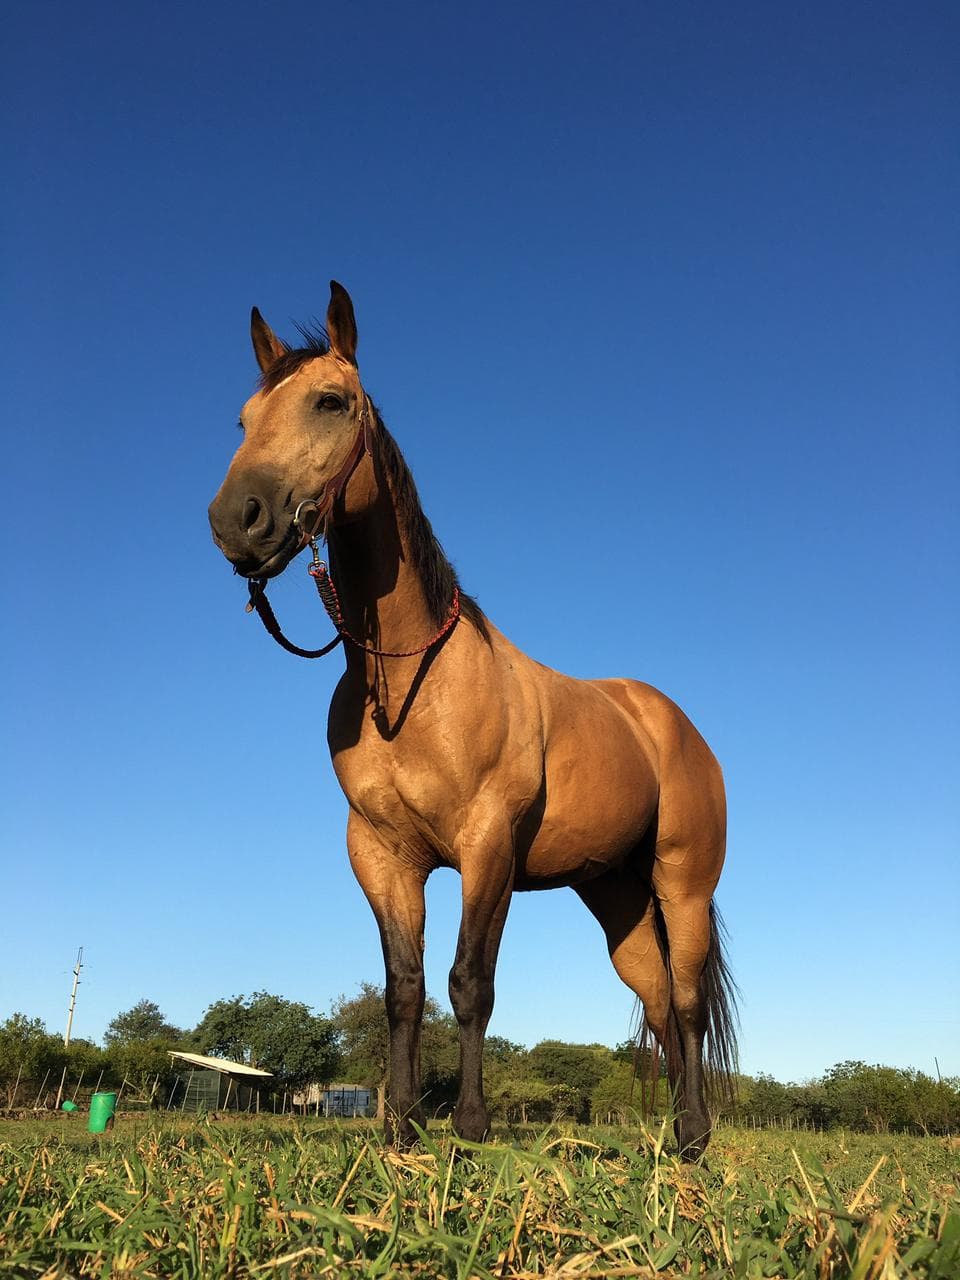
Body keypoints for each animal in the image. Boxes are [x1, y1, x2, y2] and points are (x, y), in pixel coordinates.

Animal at [208, 281, 736, 1157]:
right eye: (245, 417)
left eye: (330, 401)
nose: (235, 520)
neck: (407, 682)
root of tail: (676, 726)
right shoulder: (383, 855)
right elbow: (405, 986)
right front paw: (400, 1124)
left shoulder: (486, 845)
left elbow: (469, 982)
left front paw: (471, 1123)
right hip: (617, 896)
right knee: (660, 1004)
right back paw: (668, 1138)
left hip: (680, 884)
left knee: (688, 1000)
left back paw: (694, 1137)